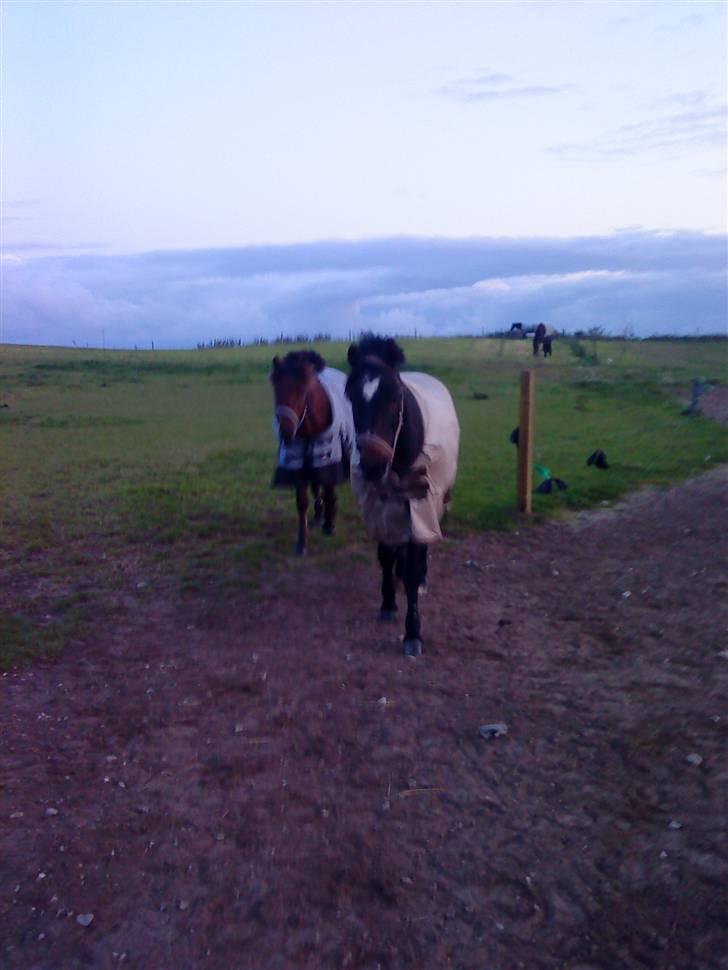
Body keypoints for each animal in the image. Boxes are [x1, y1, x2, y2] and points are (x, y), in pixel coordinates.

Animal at [270, 350, 354, 555]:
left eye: (301, 391)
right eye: (276, 388)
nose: (286, 432)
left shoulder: (329, 455)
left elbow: (329, 488)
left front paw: (329, 526)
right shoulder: (297, 461)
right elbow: (302, 502)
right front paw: (301, 542)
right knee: (316, 486)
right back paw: (317, 516)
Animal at [345, 335, 460, 657]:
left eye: (395, 396)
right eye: (350, 395)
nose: (372, 464)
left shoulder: (422, 506)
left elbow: (414, 565)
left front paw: (412, 633)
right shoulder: (378, 508)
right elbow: (385, 556)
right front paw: (387, 603)